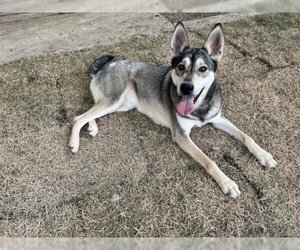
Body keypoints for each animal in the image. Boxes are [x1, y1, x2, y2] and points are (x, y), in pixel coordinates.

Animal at [68, 22, 276, 198]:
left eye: (203, 68)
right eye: (181, 67)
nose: (186, 88)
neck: (200, 108)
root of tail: (104, 67)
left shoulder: (218, 119)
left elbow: (246, 137)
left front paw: (264, 155)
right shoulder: (181, 136)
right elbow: (209, 160)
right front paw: (227, 182)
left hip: (120, 104)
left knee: (92, 110)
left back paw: (93, 128)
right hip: (114, 99)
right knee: (79, 117)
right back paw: (75, 143)